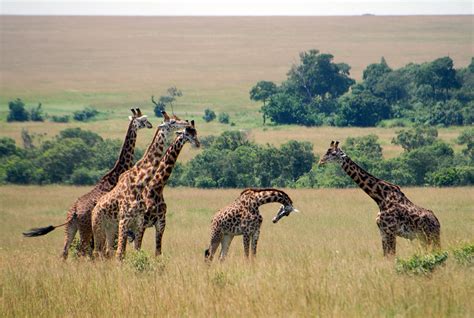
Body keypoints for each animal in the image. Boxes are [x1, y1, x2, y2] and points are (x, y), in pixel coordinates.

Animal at [22, 108, 152, 260]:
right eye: (143, 120)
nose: (150, 125)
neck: (115, 174)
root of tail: (74, 212)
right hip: (86, 229)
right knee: (81, 251)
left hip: (71, 227)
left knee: (65, 251)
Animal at [91, 120, 197, 260]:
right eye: (187, 133)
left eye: (195, 132)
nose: (197, 143)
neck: (156, 187)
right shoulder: (142, 224)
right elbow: (134, 250)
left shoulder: (160, 223)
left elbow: (157, 252)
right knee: (104, 250)